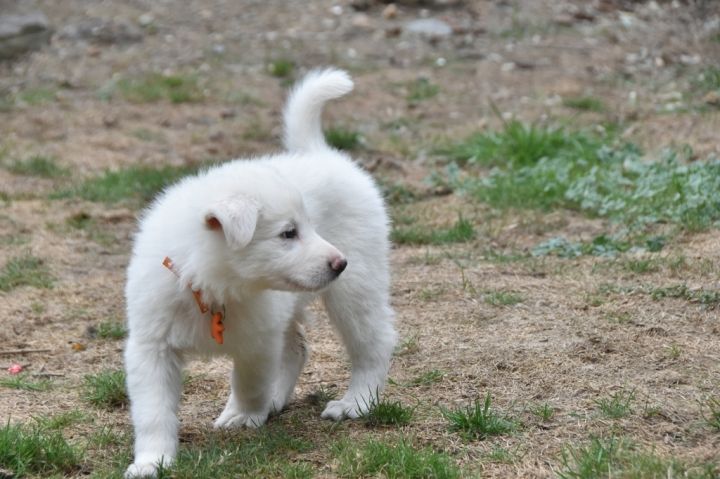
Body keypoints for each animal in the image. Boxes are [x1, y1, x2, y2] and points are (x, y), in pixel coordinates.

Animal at [123, 68, 397, 478]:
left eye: (307, 227)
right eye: (288, 233)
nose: (339, 262)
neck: (212, 287)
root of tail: (318, 152)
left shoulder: (257, 339)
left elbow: (249, 381)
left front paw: (243, 414)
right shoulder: (150, 346)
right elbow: (153, 411)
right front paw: (151, 461)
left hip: (356, 290)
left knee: (373, 343)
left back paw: (356, 402)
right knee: (297, 348)